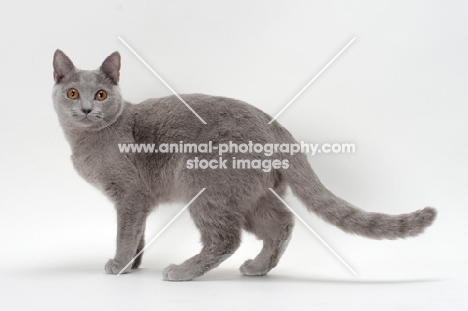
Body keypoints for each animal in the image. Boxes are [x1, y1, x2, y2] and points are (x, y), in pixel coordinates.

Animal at [53, 50, 436, 282]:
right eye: (72, 93)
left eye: (101, 95)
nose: (86, 108)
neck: (87, 139)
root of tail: (273, 124)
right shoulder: (139, 202)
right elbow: (139, 236)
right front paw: (132, 266)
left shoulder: (130, 196)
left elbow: (125, 233)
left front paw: (117, 265)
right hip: (254, 194)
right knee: (282, 223)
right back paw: (259, 267)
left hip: (204, 187)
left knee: (226, 239)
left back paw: (183, 271)